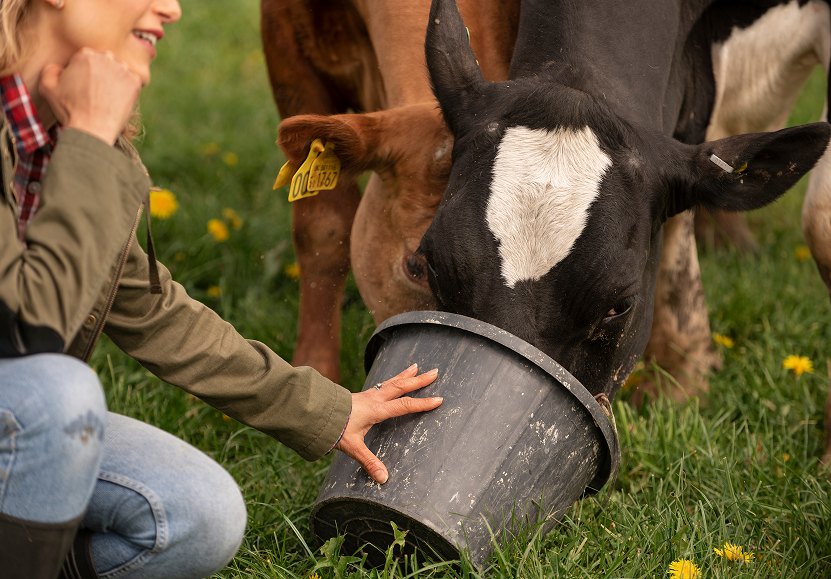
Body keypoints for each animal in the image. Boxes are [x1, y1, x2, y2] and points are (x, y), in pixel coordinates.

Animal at [265, 0, 831, 462]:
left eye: (620, 305)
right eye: (424, 264)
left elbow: (817, 221)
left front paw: (686, 382)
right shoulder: (286, 40)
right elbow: (321, 225)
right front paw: (315, 372)